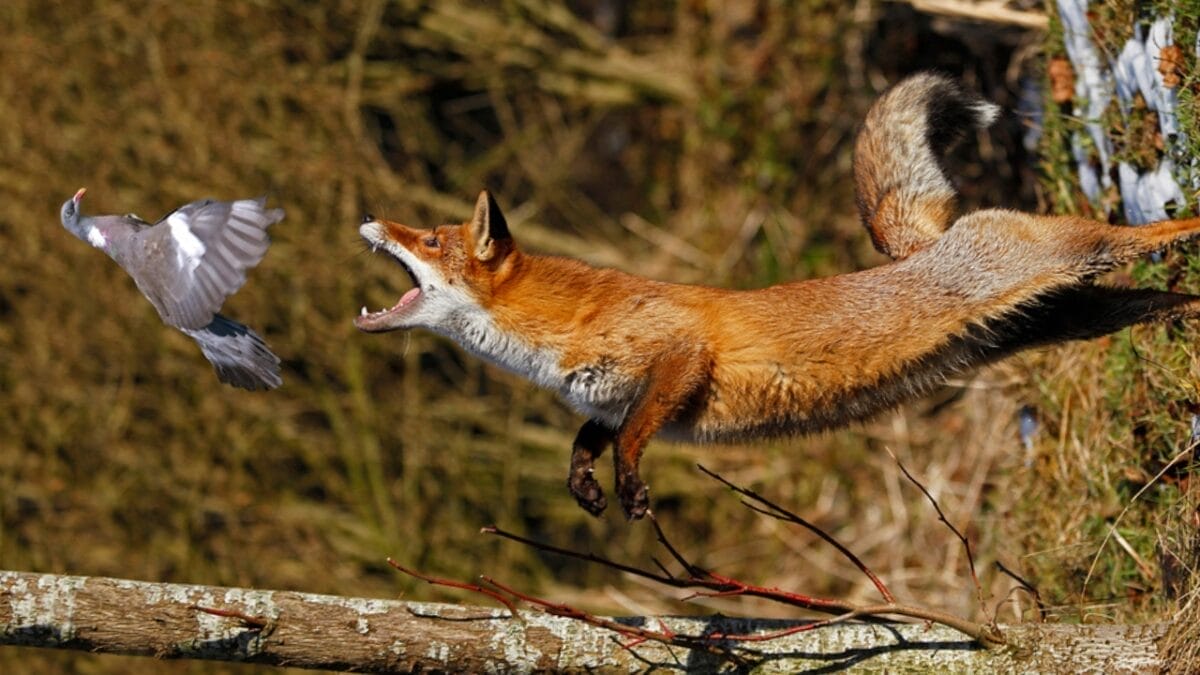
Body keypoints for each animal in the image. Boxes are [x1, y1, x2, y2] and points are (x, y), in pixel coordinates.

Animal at [356, 73, 1200, 521]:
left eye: (429, 238)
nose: (367, 217)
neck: (554, 337)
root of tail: (924, 243)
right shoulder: (609, 397)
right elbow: (588, 440)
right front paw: (586, 488)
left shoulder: (680, 357)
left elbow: (631, 440)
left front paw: (629, 489)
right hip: (1077, 318)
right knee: (1163, 301)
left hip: (1075, 254)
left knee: (1141, 236)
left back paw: (1188, 217)